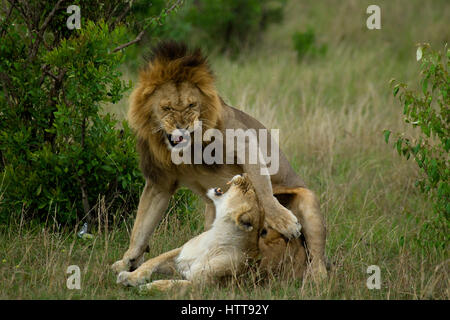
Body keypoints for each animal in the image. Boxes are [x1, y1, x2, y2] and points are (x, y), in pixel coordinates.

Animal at [110, 41, 326, 278]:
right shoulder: (160, 183)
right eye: (166, 107)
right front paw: (128, 260)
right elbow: (142, 224)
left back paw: (316, 278)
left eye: (192, 105)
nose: (182, 127)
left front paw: (284, 221)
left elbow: (262, 188)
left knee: (318, 259)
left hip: (308, 202)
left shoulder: (244, 141)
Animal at [117, 174, 268, 292]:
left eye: (246, 190)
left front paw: (146, 287)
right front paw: (128, 276)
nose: (245, 174)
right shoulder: (179, 253)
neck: (214, 239)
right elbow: (151, 262)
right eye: (251, 189)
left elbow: (172, 285)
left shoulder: (205, 286)